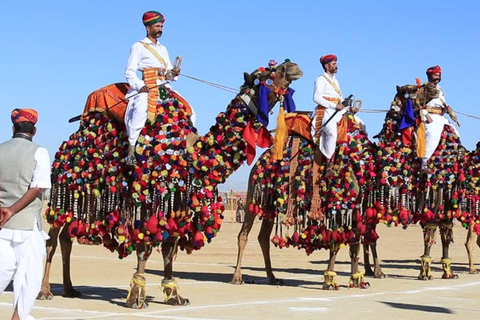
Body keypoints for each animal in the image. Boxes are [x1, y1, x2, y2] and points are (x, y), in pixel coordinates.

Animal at [37, 60, 302, 308]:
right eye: (265, 76)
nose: (292, 66)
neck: (191, 154)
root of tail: (66, 146)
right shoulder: (146, 200)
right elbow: (144, 249)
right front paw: (136, 296)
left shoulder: (178, 203)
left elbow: (168, 249)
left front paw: (174, 295)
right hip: (62, 189)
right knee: (52, 240)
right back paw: (45, 291)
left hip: (82, 198)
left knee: (66, 238)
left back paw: (70, 289)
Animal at [232, 100, 378, 290]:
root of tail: (258, 161)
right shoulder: (337, 203)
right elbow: (336, 242)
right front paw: (329, 280)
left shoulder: (353, 206)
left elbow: (354, 243)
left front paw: (357, 280)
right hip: (254, 194)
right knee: (244, 234)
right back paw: (237, 277)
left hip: (269, 203)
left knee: (263, 237)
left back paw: (273, 278)